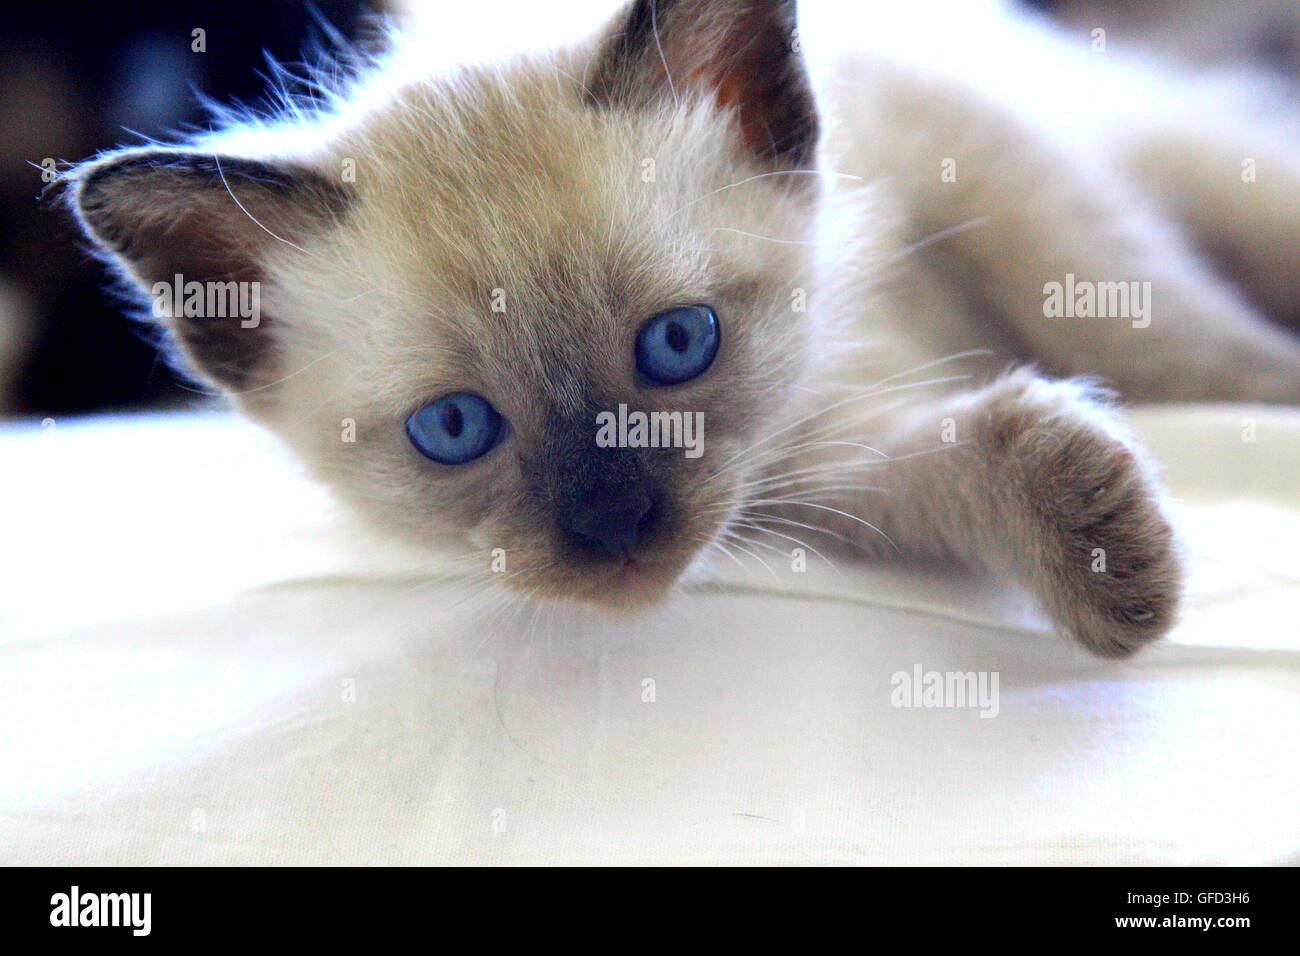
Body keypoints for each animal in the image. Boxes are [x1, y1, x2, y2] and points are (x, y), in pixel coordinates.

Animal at [63, 0, 1300, 658]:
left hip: (1180, 158)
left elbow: (1153, 332)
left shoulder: (980, 154)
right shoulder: (801, 466)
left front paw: (1256, 403)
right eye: (454, 428)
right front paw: (1108, 560)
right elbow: (953, 453)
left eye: (677, 344)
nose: (615, 530)